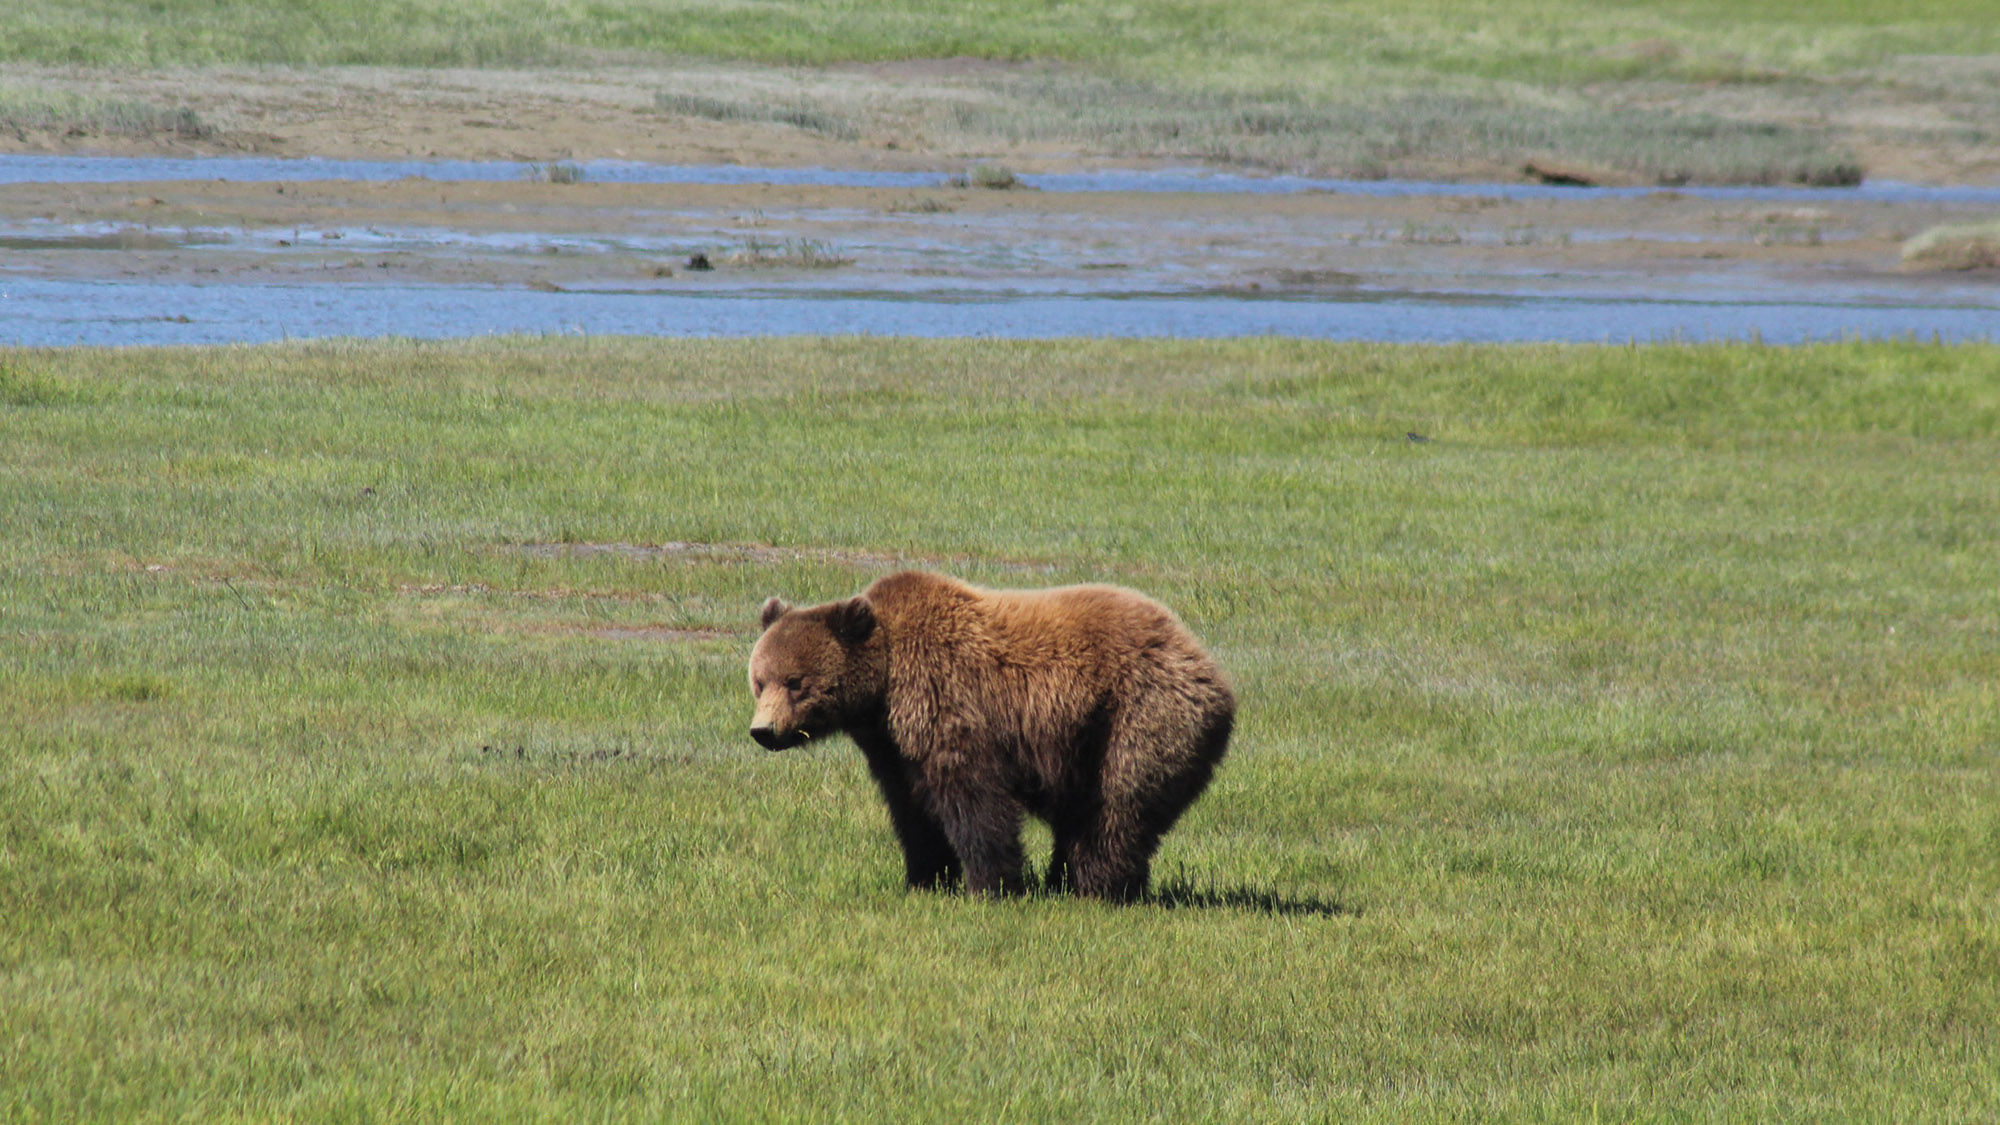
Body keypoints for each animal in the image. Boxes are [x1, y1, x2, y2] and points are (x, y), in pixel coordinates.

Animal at [744, 568, 1224, 892]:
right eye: (760, 680)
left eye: (796, 682)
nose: (763, 730)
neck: (882, 688)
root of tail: (1202, 657)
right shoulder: (892, 747)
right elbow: (912, 809)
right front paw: (926, 878)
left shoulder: (946, 701)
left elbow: (974, 798)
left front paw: (990, 884)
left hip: (1136, 713)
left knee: (1116, 805)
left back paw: (1093, 885)